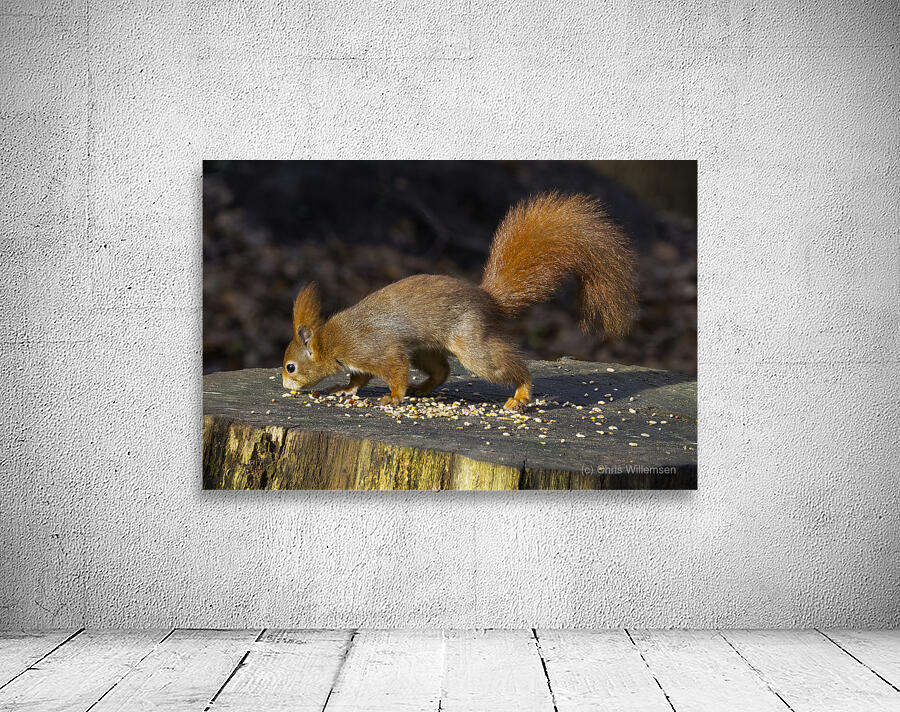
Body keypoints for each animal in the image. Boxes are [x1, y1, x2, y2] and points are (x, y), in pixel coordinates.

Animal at [282, 192, 638, 412]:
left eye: (290, 366)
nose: (286, 386)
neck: (331, 341)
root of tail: (486, 298)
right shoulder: (362, 361)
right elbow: (358, 379)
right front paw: (342, 390)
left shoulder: (374, 349)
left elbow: (393, 371)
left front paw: (392, 397)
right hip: (425, 349)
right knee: (442, 370)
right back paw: (422, 389)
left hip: (471, 342)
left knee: (506, 365)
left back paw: (521, 393)